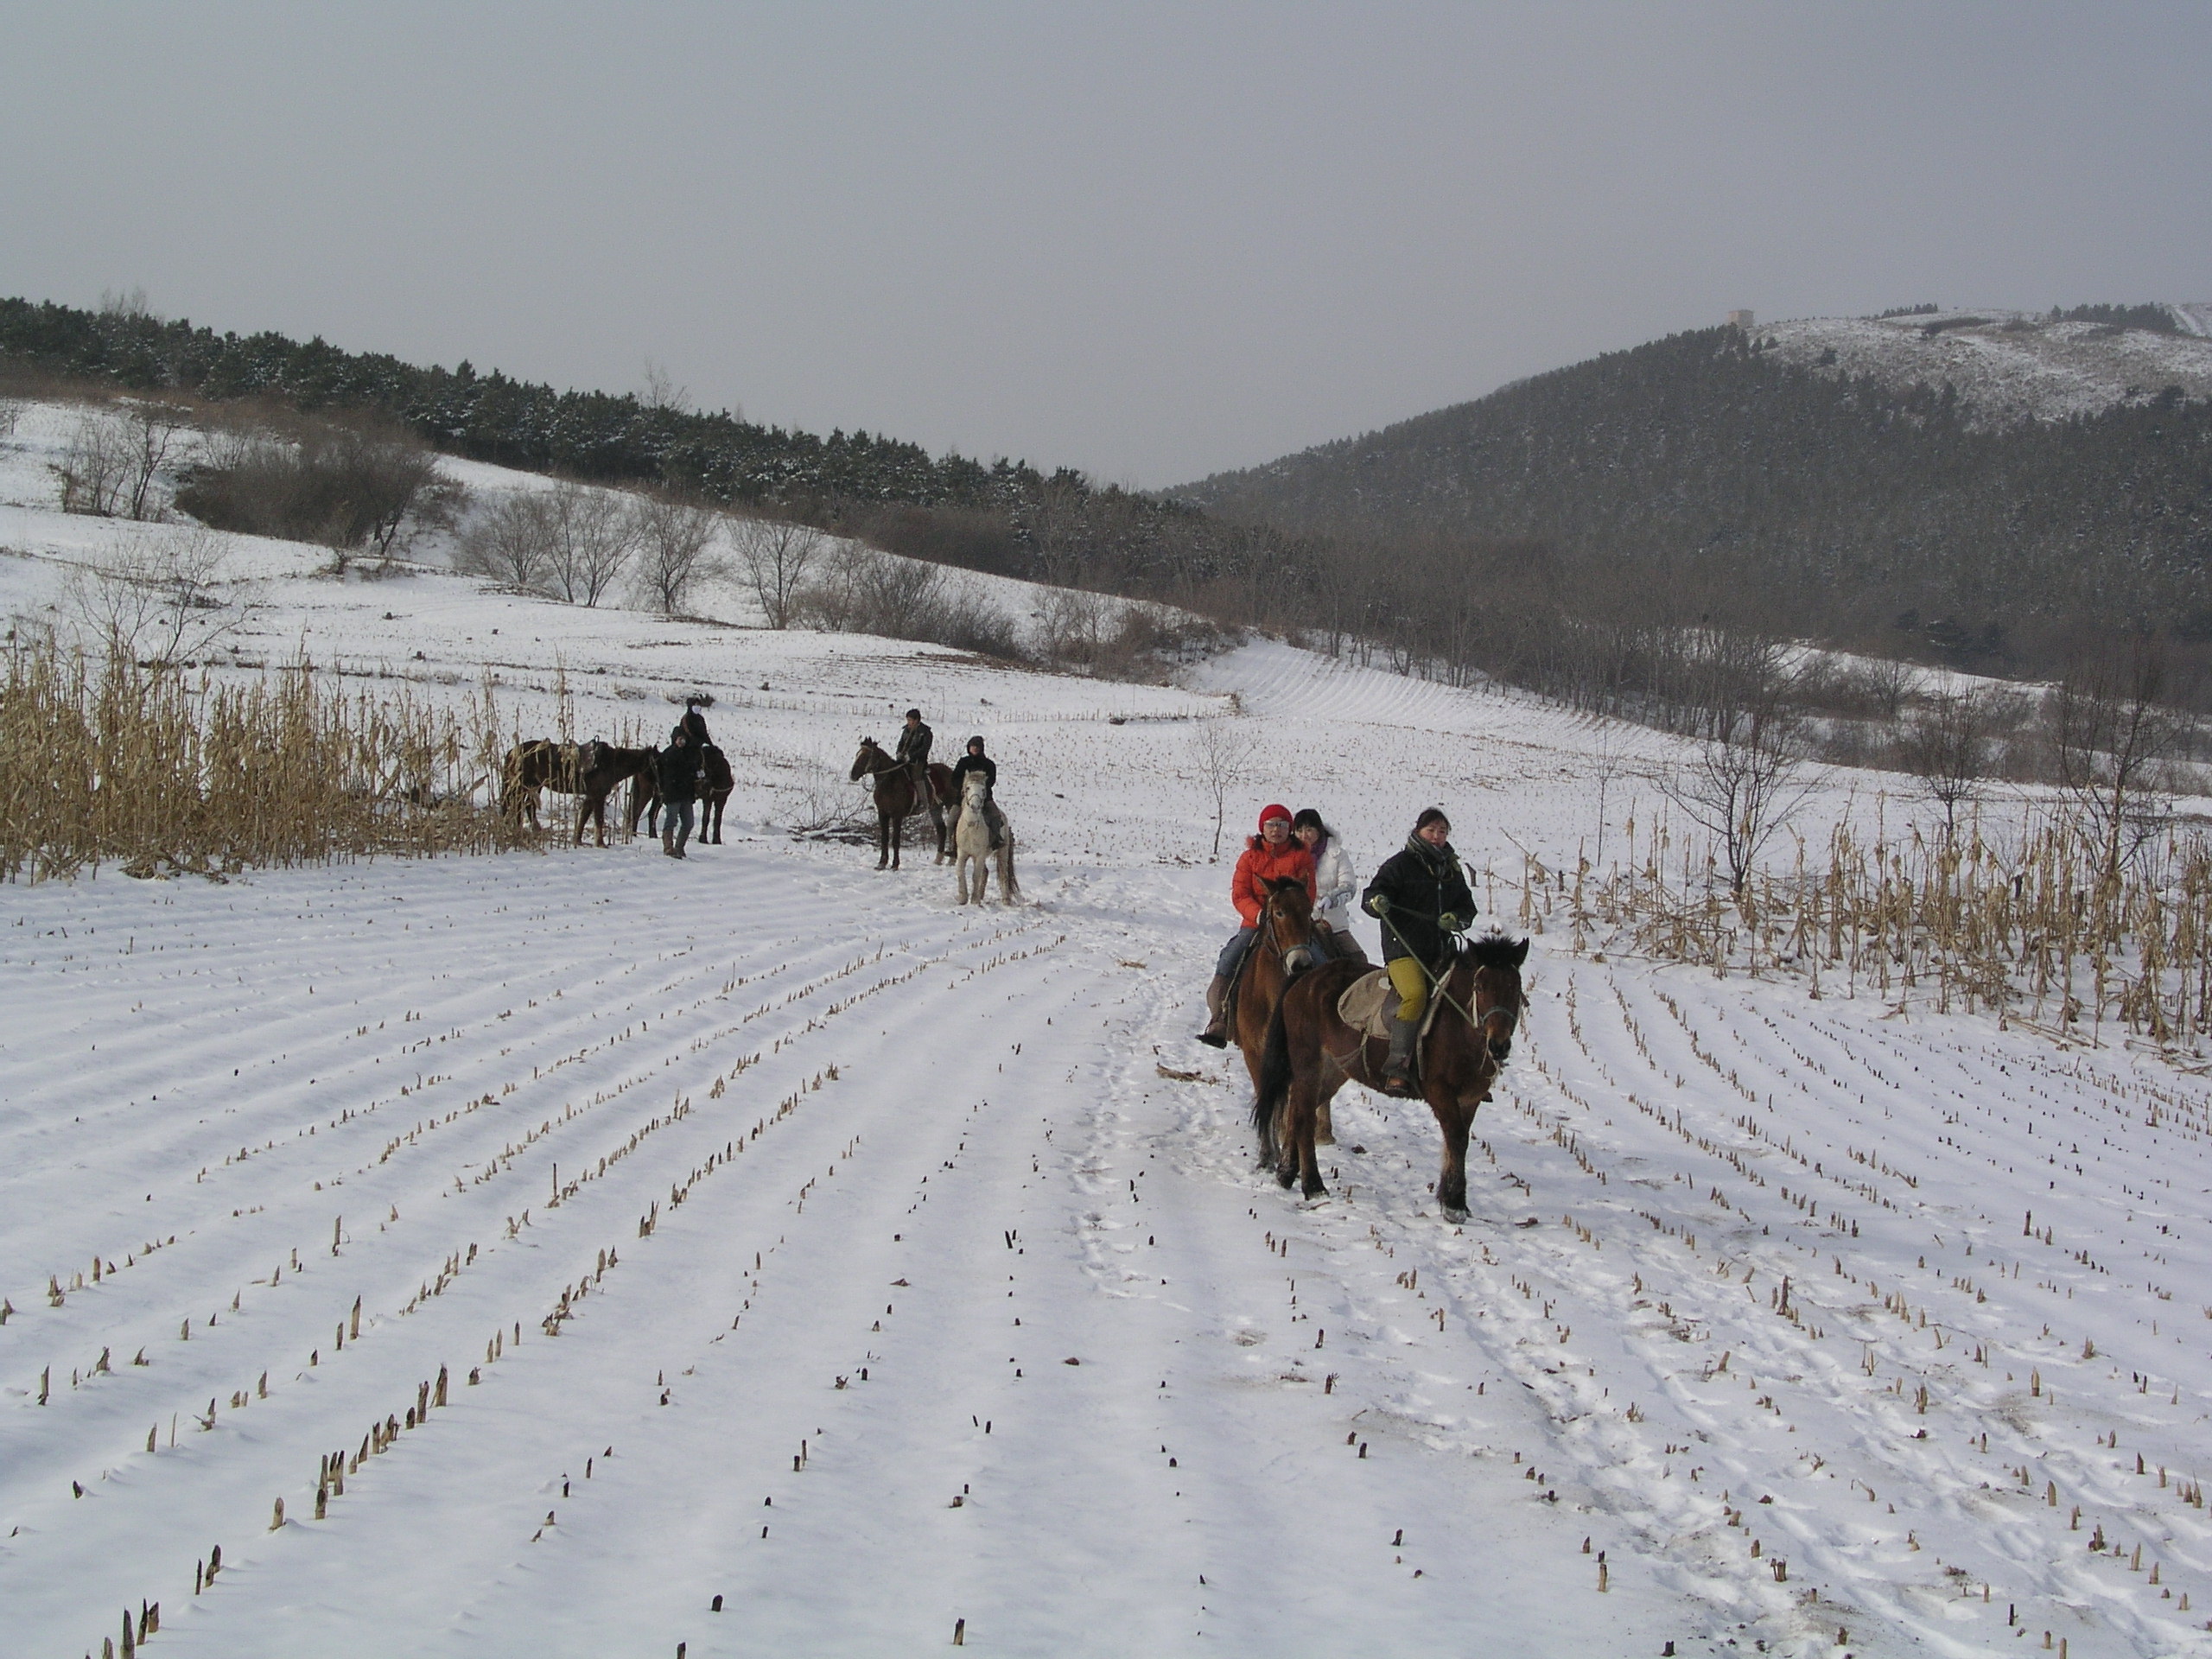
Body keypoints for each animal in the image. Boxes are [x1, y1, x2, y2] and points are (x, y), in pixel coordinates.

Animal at [506, 739, 658, 844]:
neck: (611, 763)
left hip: (534, 786)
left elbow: (583, 817)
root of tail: (513, 752)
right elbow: (598, 820)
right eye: (656, 763)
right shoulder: (598, 796)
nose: (659, 785)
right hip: (522, 787)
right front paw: (600, 844)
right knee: (519, 806)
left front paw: (577, 841)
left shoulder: (591, 796)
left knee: (527, 806)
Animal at [844, 739, 950, 871]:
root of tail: (950, 771)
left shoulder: (897, 815)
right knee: (941, 829)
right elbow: (884, 838)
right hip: (935, 808)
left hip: (951, 804)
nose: (852, 775)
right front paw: (881, 863)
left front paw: (895, 864)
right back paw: (938, 859)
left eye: (866, 756)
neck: (889, 782)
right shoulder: (882, 814)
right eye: (858, 754)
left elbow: (895, 840)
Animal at [950, 769, 1017, 911]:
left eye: (982, 789)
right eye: (968, 788)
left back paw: (1006, 901)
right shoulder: (962, 853)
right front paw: (963, 898)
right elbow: (960, 872)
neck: (971, 828)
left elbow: (976, 876)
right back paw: (981, 896)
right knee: (985, 872)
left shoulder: (980, 855)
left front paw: (974, 900)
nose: (975, 806)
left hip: (1002, 853)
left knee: (1003, 874)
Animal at [1256, 938, 1530, 1221]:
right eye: (1480, 986)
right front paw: (1453, 1205)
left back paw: (1286, 1173)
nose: (1499, 1046)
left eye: (1515, 988)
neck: (1459, 1028)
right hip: (1309, 1064)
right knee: (1304, 1119)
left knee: (1297, 1111)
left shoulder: (1470, 1099)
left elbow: (1459, 1141)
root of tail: (1305, 979)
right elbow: (1455, 1137)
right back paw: (1314, 1186)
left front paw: (1455, 1200)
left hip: (1334, 1071)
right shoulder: (1439, 1092)